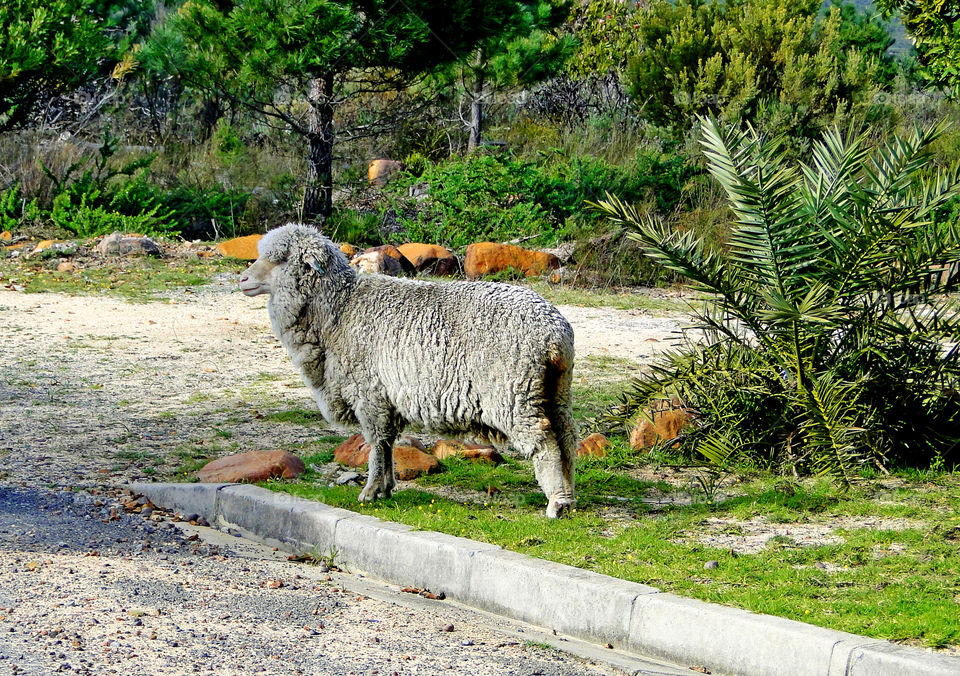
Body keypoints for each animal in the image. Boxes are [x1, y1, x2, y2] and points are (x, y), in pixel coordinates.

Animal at [240, 224, 577, 517]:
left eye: (279, 259)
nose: (242, 280)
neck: (339, 309)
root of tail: (555, 334)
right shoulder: (386, 399)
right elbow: (388, 444)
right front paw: (386, 488)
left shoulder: (369, 393)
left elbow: (376, 443)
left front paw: (370, 491)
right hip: (554, 389)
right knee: (566, 439)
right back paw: (569, 497)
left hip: (513, 394)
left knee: (545, 442)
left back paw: (556, 503)